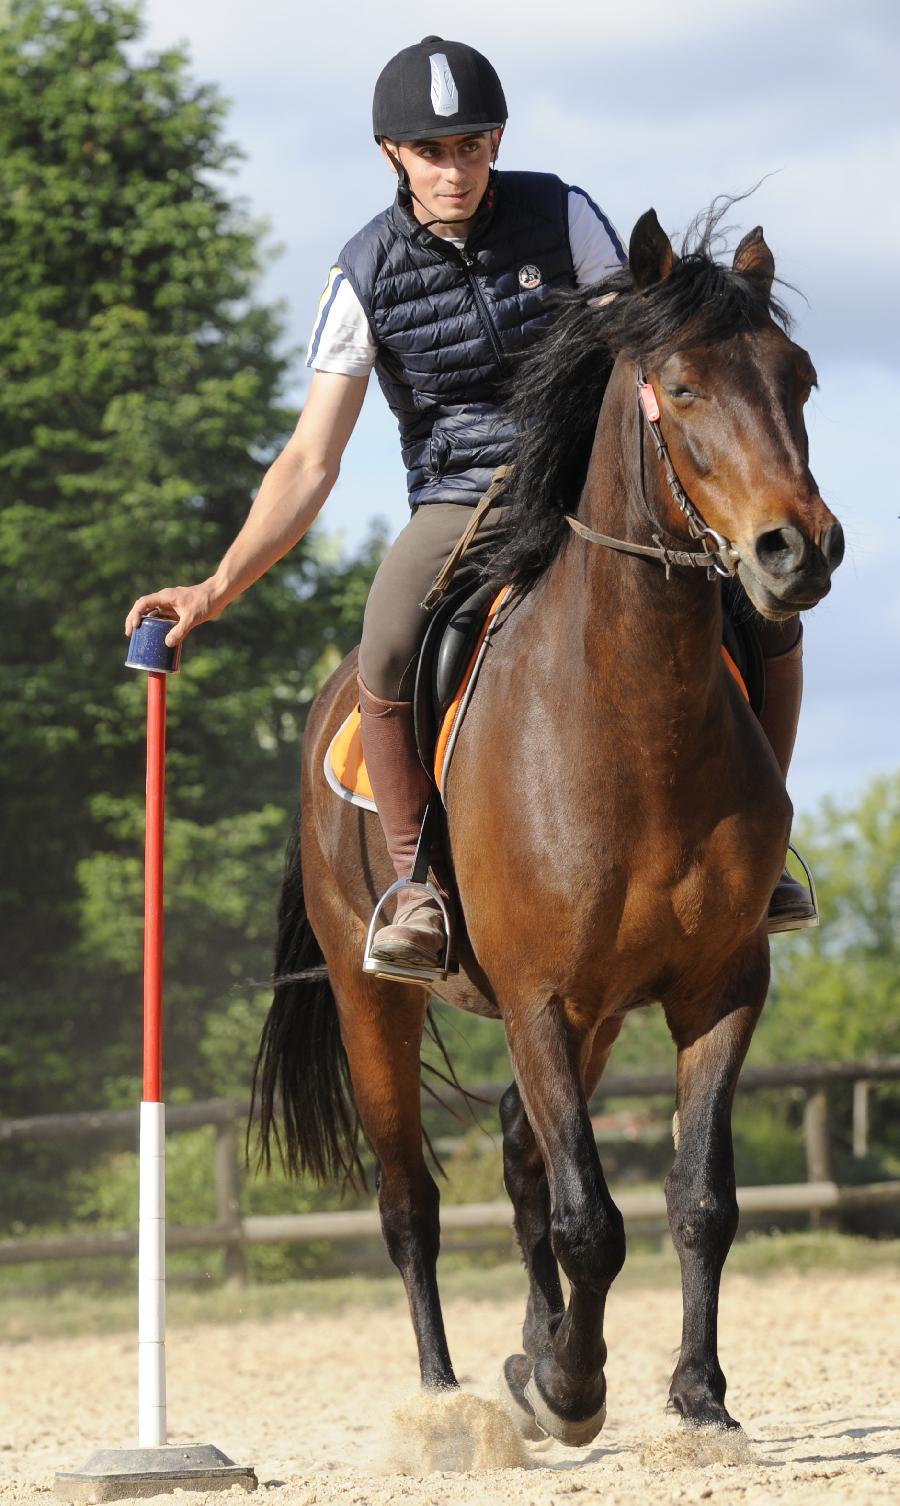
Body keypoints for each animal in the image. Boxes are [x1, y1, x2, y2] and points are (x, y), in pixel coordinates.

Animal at [255, 206, 848, 1439]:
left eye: (800, 377)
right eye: (681, 385)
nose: (798, 549)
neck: (633, 723)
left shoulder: (721, 987)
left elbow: (697, 1200)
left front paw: (694, 1395)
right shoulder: (536, 996)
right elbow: (591, 1220)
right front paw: (574, 1391)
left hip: (601, 1016)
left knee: (523, 1156)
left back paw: (529, 1353)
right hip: (378, 1004)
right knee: (411, 1202)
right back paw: (445, 1397)